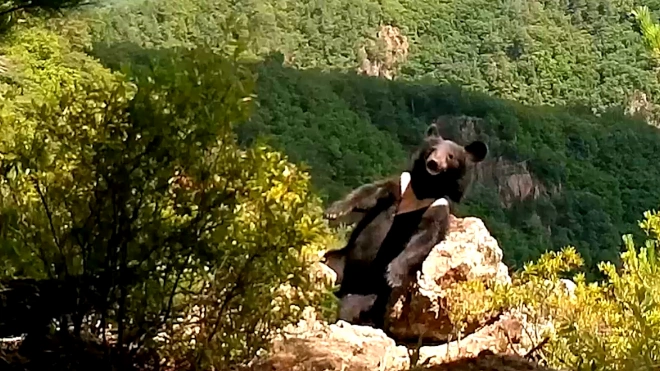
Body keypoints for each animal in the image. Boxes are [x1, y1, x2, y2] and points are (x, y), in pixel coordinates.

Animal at [322, 124, 488, 328]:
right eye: (432, 149)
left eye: (450, 156)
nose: (433, 163)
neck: (425, 188)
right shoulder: (401, 184)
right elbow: (369, 193)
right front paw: (333, 211)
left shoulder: (438, 206)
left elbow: (424, 238)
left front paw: (393, 274)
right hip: (343, 259)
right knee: (329, 264)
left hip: (372, 293)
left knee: (355, 307)